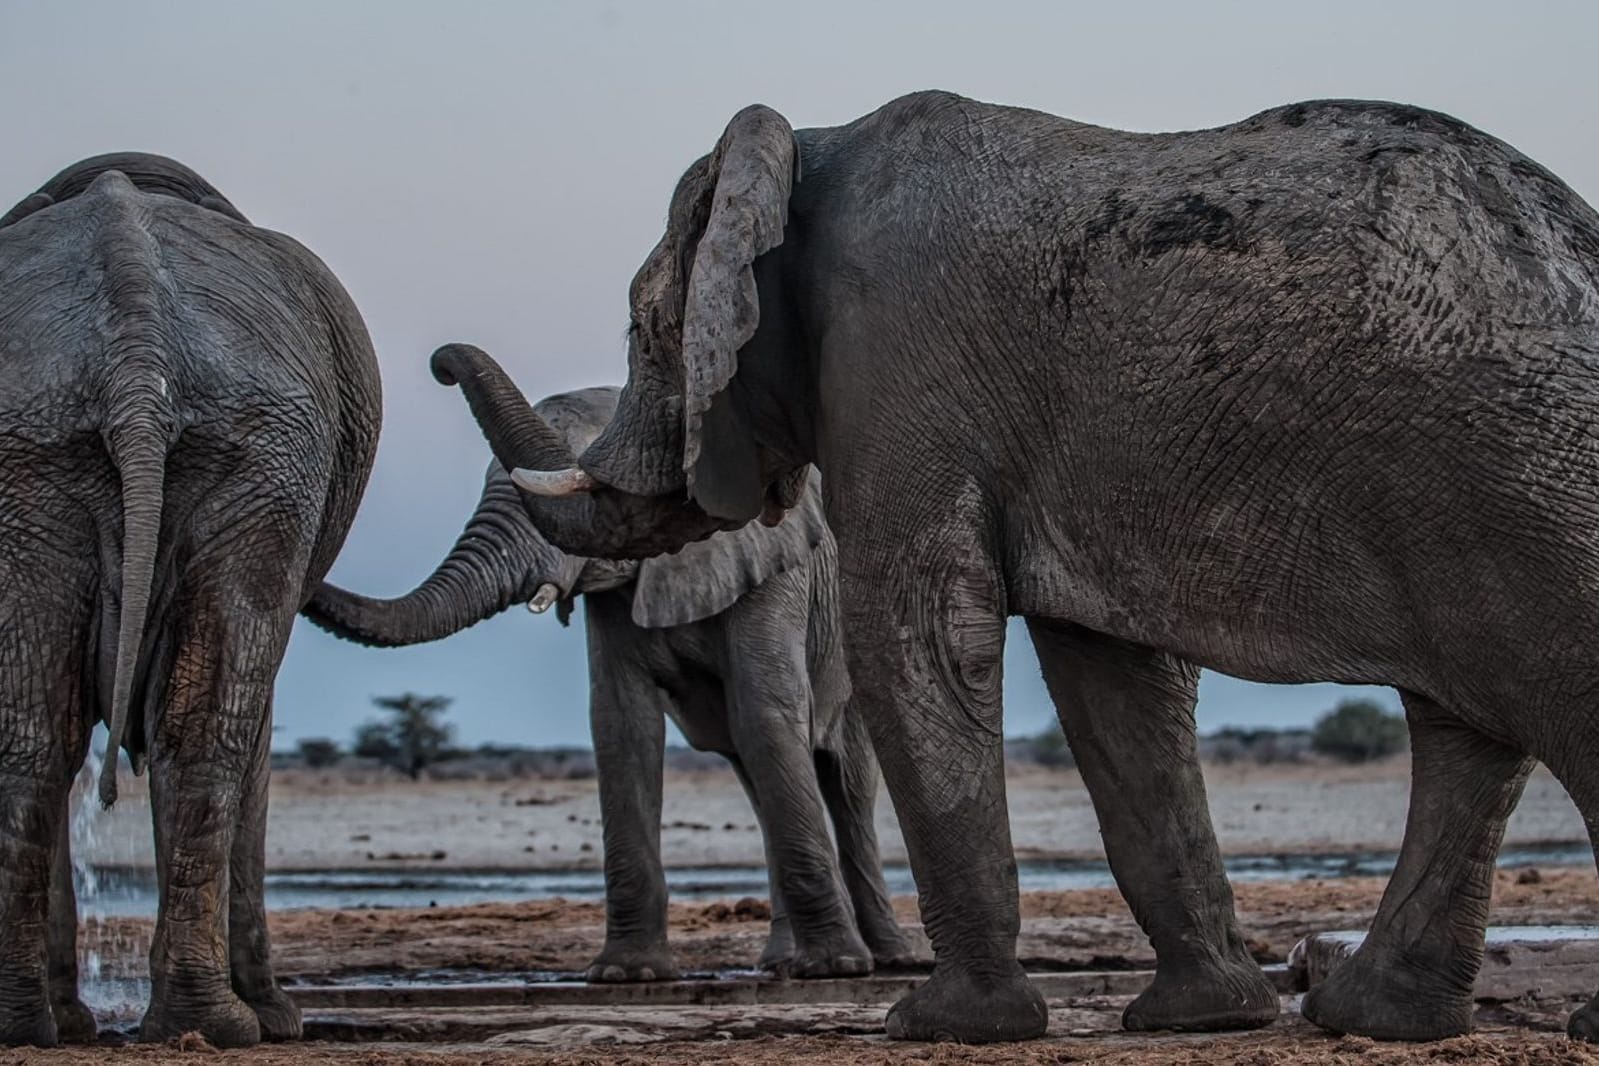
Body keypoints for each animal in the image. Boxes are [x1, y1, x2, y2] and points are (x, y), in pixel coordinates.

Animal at [307, 385, 921, 984]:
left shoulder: (773, 571)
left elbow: (765, 713)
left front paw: (833, 968)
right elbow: (622, 724)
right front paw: (627, 974)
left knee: (846, 781)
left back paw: (886, 959)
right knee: (756, 772)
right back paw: (778, 964)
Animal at [418, 95, 1599, 1048]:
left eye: (641, 324)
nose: (435, 358)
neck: (805, 150)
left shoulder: (897, 362)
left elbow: (921, 631)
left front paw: (939, 1025)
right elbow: (1112, 681)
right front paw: (1202, 1018)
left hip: (1518, 467)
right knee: (1467, 730)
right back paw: (1373, 1018)